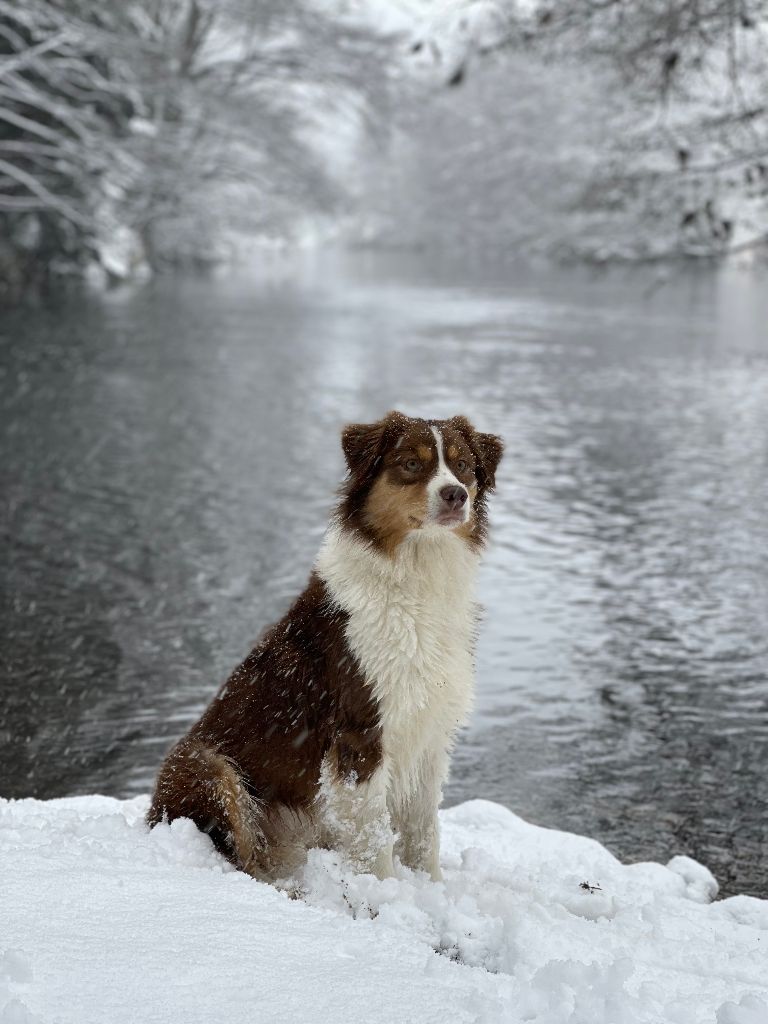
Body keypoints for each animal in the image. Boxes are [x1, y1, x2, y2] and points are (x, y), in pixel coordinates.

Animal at [148, 411, 505, 884]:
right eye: (411, 463)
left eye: (463, 466)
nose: (455, 495)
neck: (416, 578)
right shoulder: (361, 732)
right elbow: (374, 839)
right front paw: (385, 897)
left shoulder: (429, 733)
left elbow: (423, 832)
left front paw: (431, 890)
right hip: (208, 766)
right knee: (243, 857)